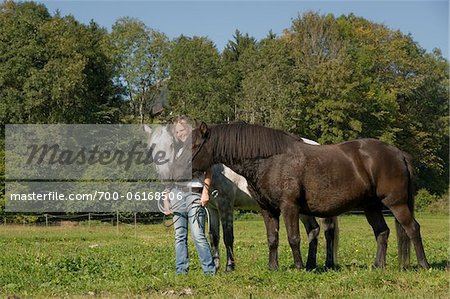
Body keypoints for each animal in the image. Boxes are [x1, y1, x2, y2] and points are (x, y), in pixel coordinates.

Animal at [190, 122, 428, 272]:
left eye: (194, 145)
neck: (270, 160)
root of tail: (399, 153)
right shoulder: (268, 209)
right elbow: (272, 238)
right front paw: (273, 267)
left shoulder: (289, 207)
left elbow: (293, 238)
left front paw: (298, 267)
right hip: (371, 206)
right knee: (382, 232)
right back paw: (378, 266)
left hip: (396, 203)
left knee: (412, 228)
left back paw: (423, 264)